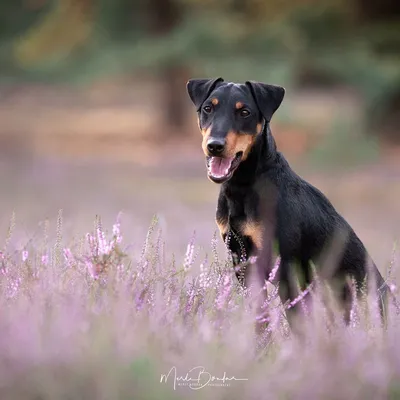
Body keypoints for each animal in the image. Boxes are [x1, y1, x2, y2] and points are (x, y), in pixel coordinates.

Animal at [186, 77, 390, 328]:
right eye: (208, 108)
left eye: (245, 112)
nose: (215, 145)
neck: (244, 185)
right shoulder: (243, 262)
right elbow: (260, 320)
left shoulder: (286, 269)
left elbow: (298, 324)